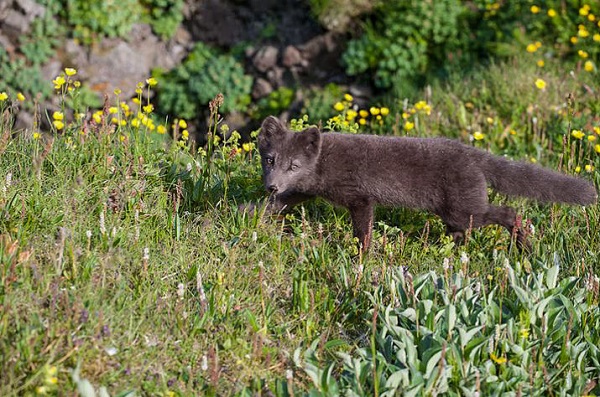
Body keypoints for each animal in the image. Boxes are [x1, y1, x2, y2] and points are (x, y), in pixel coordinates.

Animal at [256, 116, 596, 249]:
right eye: (270, 160)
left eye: (294, 165)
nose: (272, 185)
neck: (323, 164)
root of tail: (474, 154)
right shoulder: (300, 192)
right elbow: (271, 207)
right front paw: (250, 219)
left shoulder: (360, 198)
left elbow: (363, 231)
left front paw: (360, 256)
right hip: (454, 213)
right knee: (463, 231)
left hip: (464, 209)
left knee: (509, 212)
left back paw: (522, 246)